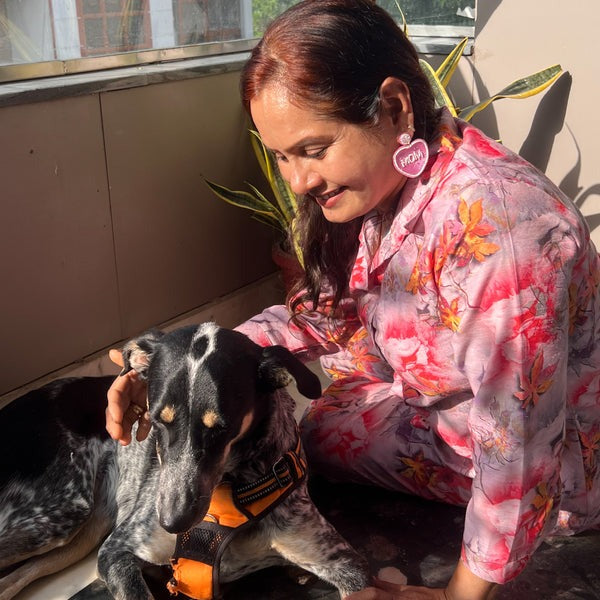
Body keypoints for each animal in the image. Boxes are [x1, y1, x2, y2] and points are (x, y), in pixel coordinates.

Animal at [0, 326, 370, 596]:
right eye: (155, 421)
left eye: (222, 428)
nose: (172, 522)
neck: (231, 489)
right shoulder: (116, 551)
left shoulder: (345, 564)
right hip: (60, 513)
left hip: (79, 533)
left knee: (16, 576)